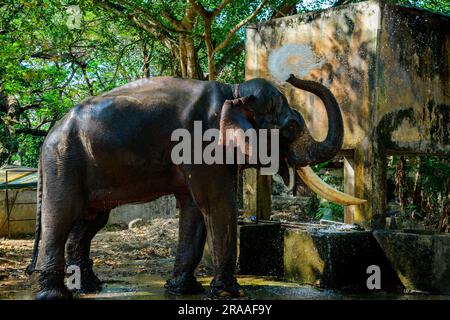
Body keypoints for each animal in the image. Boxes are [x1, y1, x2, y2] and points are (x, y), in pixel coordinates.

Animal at [25, 74, 366, 298]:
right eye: (292, 126)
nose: (294, 76)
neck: (234, 91)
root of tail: (49, 133)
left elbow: (194, 208)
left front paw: (182, 290)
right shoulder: (202, 143)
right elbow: (216, 204)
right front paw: (229, 295)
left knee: (90, 221)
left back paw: (90, 287)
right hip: (64, 163)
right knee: (61, 217)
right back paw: (54, 295)